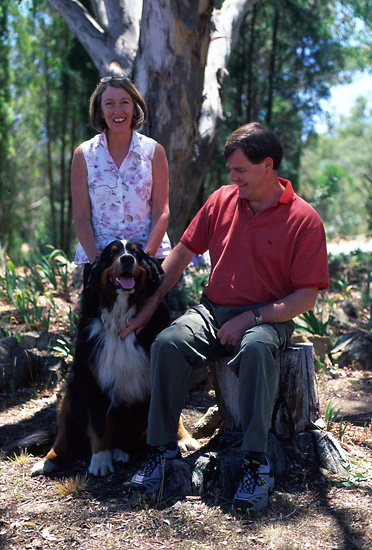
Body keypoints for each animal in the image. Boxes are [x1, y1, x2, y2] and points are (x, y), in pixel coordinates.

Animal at [31, 242, 199, 478]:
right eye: (112, 253)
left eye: (136, 252)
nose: (127, 259)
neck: (121, 316)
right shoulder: (94, 378)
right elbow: (100, 424)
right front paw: (101, 460)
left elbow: (171, 412)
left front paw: (182, 439)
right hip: (70, 392)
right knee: (62, 438)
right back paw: (48, 461)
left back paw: (121, 452)